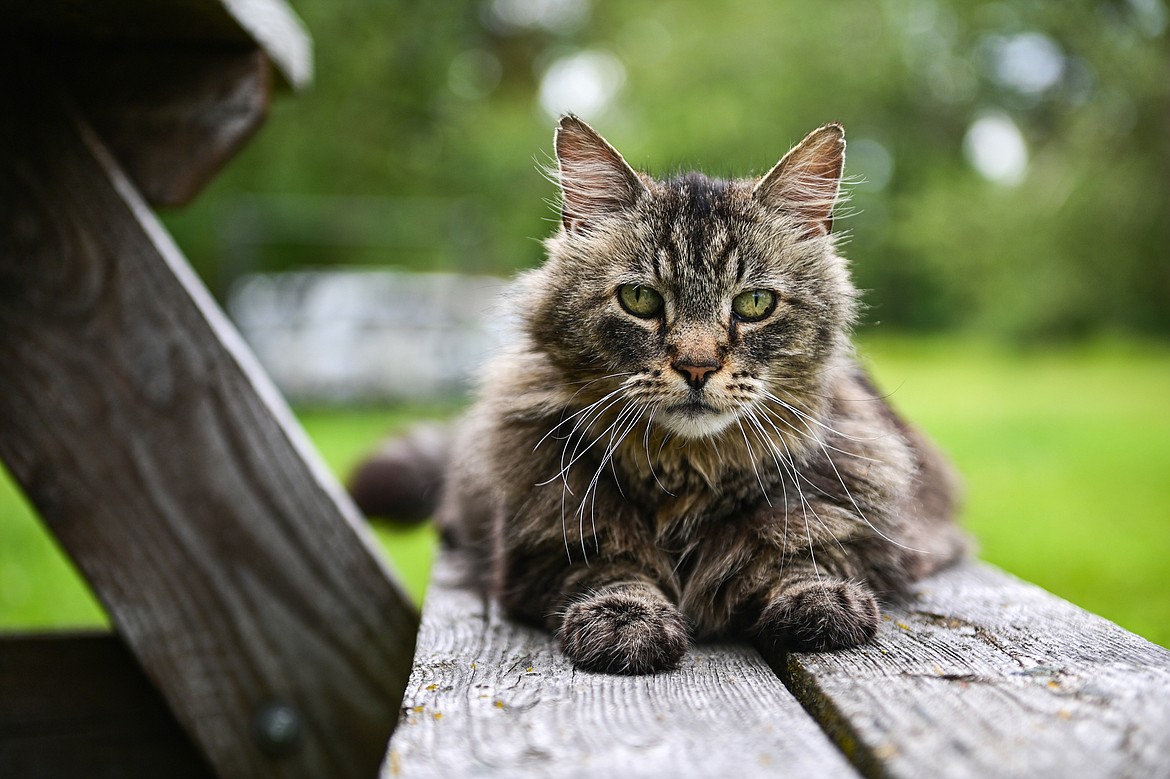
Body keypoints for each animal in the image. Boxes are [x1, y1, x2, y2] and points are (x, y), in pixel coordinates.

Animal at [348, 115, 968, 673]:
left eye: (754, 304)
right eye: (641, 300)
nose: (697, 366)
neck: (684, 473)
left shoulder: (872, 533)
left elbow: (800, 552)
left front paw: (819, 602)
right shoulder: (547, 548)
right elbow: (613, 569)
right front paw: (627, 625)